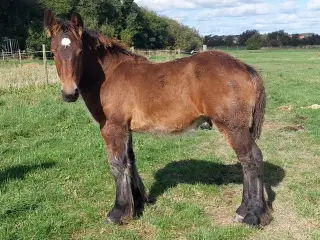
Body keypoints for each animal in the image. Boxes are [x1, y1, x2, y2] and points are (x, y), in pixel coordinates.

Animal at [43, 9, 272, 226]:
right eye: (52, 52)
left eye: (80, 51)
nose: (69, 93)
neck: (109, 75)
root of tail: (245, 68)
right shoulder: (126, 129)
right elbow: (130, 160)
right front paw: (138, 202)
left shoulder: (112, 127)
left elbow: (117, 164)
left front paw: (118, 212)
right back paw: (243, 210)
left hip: (233, 127)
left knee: (251, 159)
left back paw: (253, 215)